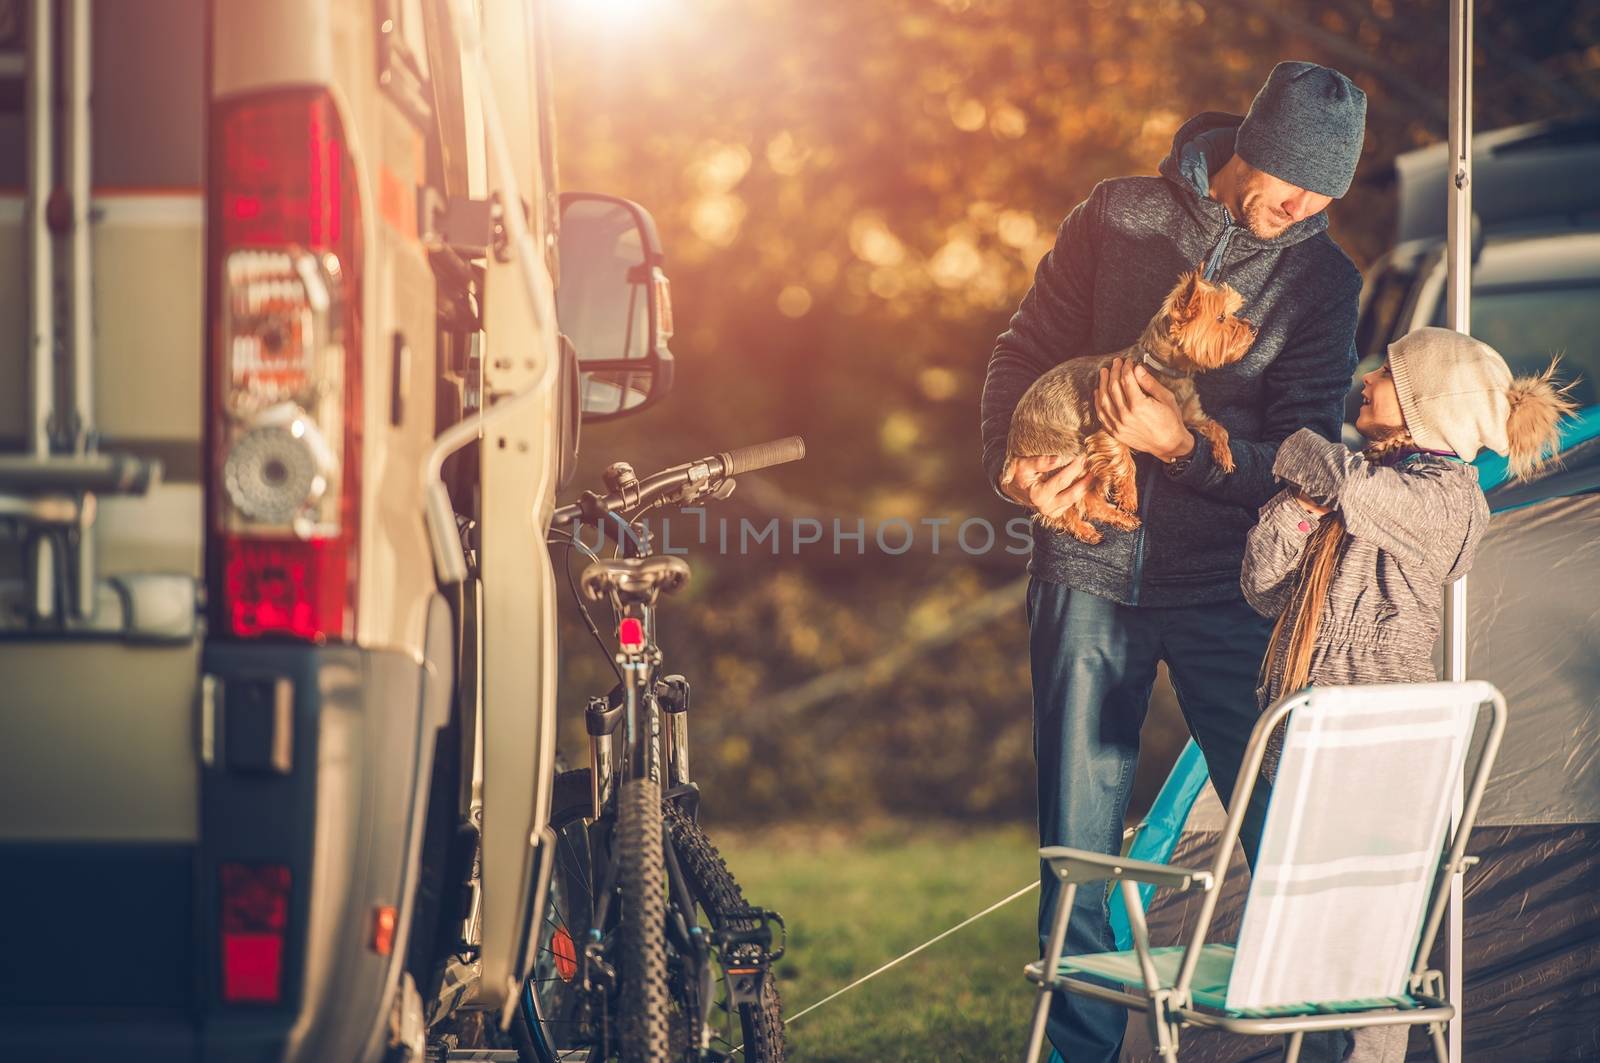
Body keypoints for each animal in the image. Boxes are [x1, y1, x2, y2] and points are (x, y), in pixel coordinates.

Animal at [1004, 270, 1254, 544]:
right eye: (1221, 318)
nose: (1253, 328)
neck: (1167, 371)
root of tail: (1012, 447)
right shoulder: (1107, 430)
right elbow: (1125, 463)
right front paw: (1129, 496)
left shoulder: (1189, 417)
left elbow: (1218, 428)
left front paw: (1224, 455)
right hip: (1069, 454)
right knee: (1075, 502)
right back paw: (1097, 525)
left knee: (1087, 500)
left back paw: (1109, 523)